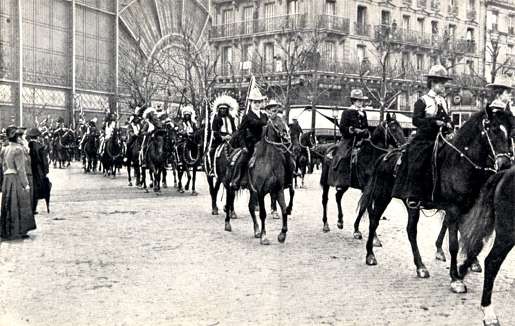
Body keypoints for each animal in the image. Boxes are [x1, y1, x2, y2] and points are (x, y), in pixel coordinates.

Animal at [225, 114, 294, 244]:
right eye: (275, 122)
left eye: (285, 120)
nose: (287, 138)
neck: (269, 161)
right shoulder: (261, 192)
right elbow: (263, 213)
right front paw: (264, 237)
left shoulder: (278, 190)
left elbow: (284, 210)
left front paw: (282, 234)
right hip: (230, 187)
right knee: (228, 203)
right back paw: (227, 224)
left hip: (252, 191)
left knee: (251, 207)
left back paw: (256, 231)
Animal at [356, 107, 512, 292]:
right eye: (493, 129)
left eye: (510, 131)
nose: (506, 164)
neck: (459, 164)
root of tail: (386, 156)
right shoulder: (453, 210)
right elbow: (453, 244)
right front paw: (455, 279)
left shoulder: (466, 209)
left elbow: (470, 238)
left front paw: (468, 265)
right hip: (382, 197)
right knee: (374, 221)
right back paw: (370, 255)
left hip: (411, 204)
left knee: (410, 231)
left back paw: (420, 267)